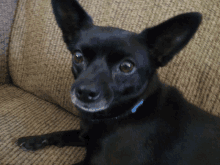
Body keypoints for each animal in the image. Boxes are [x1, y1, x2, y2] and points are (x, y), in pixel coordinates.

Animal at [17, 0, 220, 164]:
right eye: (77, 57)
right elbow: (63, 133)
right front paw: (34, 139)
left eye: (126, 67)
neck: (126, 113)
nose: (84, 92)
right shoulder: (85, 135)